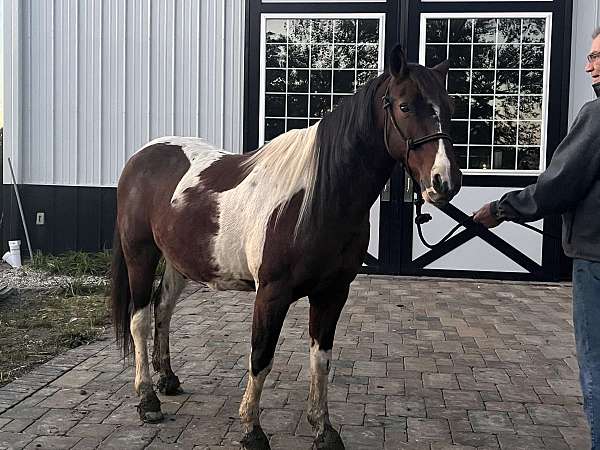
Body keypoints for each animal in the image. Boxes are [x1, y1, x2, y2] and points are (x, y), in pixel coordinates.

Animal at [110, 46, 462, 450]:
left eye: (449, 106)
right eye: (404, 106)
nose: (445, 181)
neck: (317, 199)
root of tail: (142, 156)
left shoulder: (332, 293)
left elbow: (321, 361)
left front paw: (324, 430)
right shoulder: (271, 294)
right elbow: (260, 357)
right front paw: (251, 430)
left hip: (178, 261)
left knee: (163, 308)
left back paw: (167, 379)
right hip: (140, 254)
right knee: (139, 319)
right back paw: (147, 399)